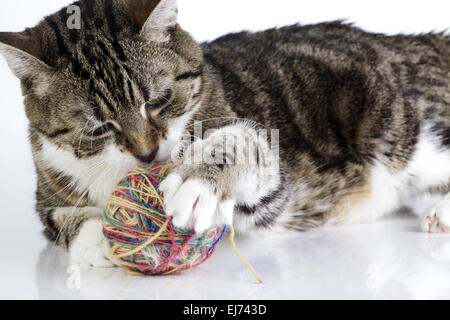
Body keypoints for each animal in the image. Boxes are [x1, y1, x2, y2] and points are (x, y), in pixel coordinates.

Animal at [0, 0, 450, 268]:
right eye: (97, 127)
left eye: (160, 99)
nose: (147, 154)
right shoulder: (47, 185)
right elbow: (61, 218)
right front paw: (100, 239)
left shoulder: (276, 187)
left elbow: (246, 147)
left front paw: (200, 183)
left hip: (397, 127)